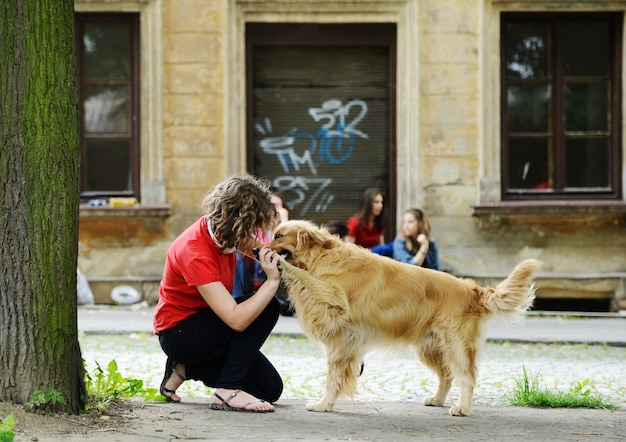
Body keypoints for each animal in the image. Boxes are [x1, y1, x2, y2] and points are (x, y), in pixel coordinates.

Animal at [266, 219, 540, 416]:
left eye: (278, 236)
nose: (259, 249)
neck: (323, 257)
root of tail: (473, 289)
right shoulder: (343, 342)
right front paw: (328, 404)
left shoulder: (336, 311)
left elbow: (333, 376)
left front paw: (323, 404)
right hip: (431, 347)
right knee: (447, 375)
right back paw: (437, 399)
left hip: (457, 346)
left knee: (467, 377)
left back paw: (462, 407)